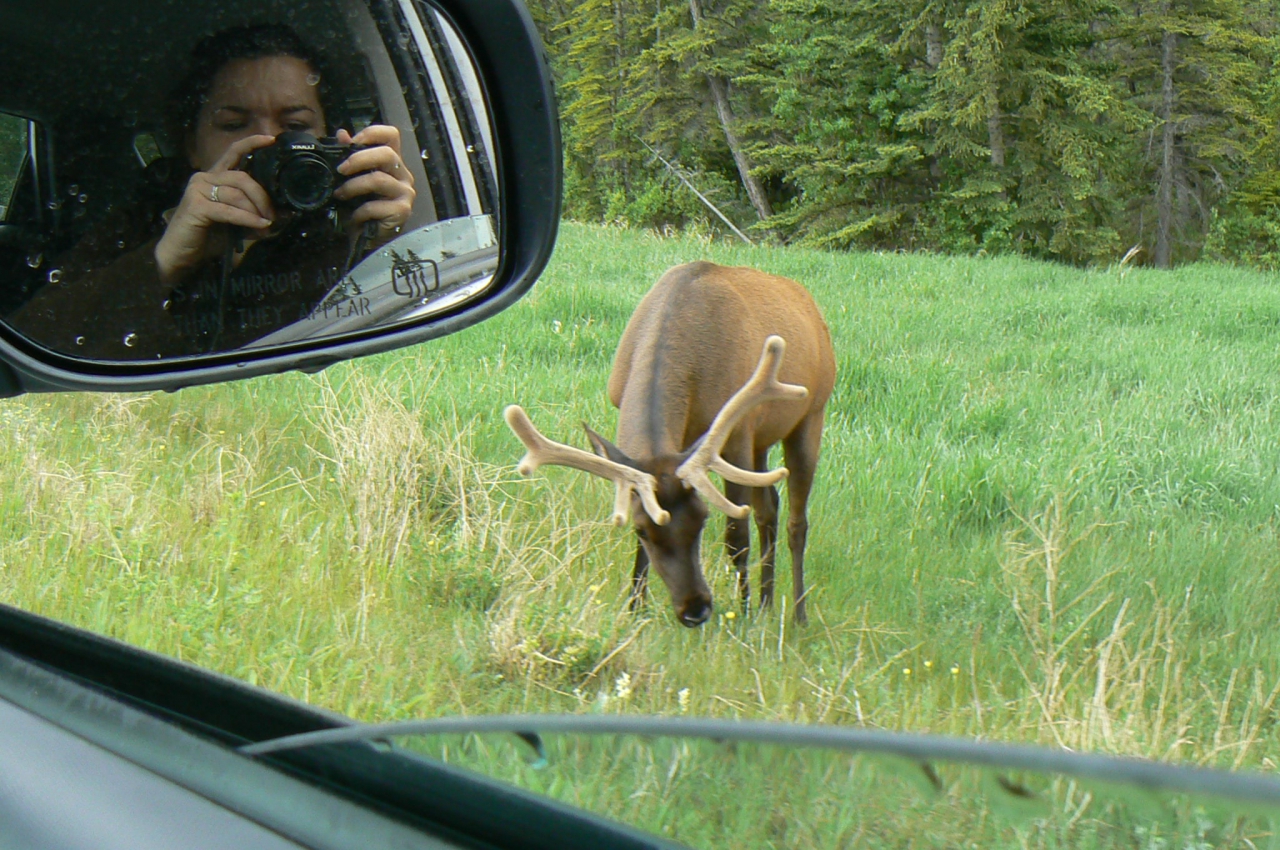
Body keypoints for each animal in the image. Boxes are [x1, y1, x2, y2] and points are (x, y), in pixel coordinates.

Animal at [505, 261, 836, 627]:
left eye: (702, 518)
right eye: (641, 530)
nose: (696, 610)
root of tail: (810, 305)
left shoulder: (737, 434)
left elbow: (736, 537)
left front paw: (743, 616)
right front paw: (636, 609)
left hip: (811, 415)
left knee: (796, 521)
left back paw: (797, 614)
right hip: (762, 440)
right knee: (770, 505)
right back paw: (767, 602)